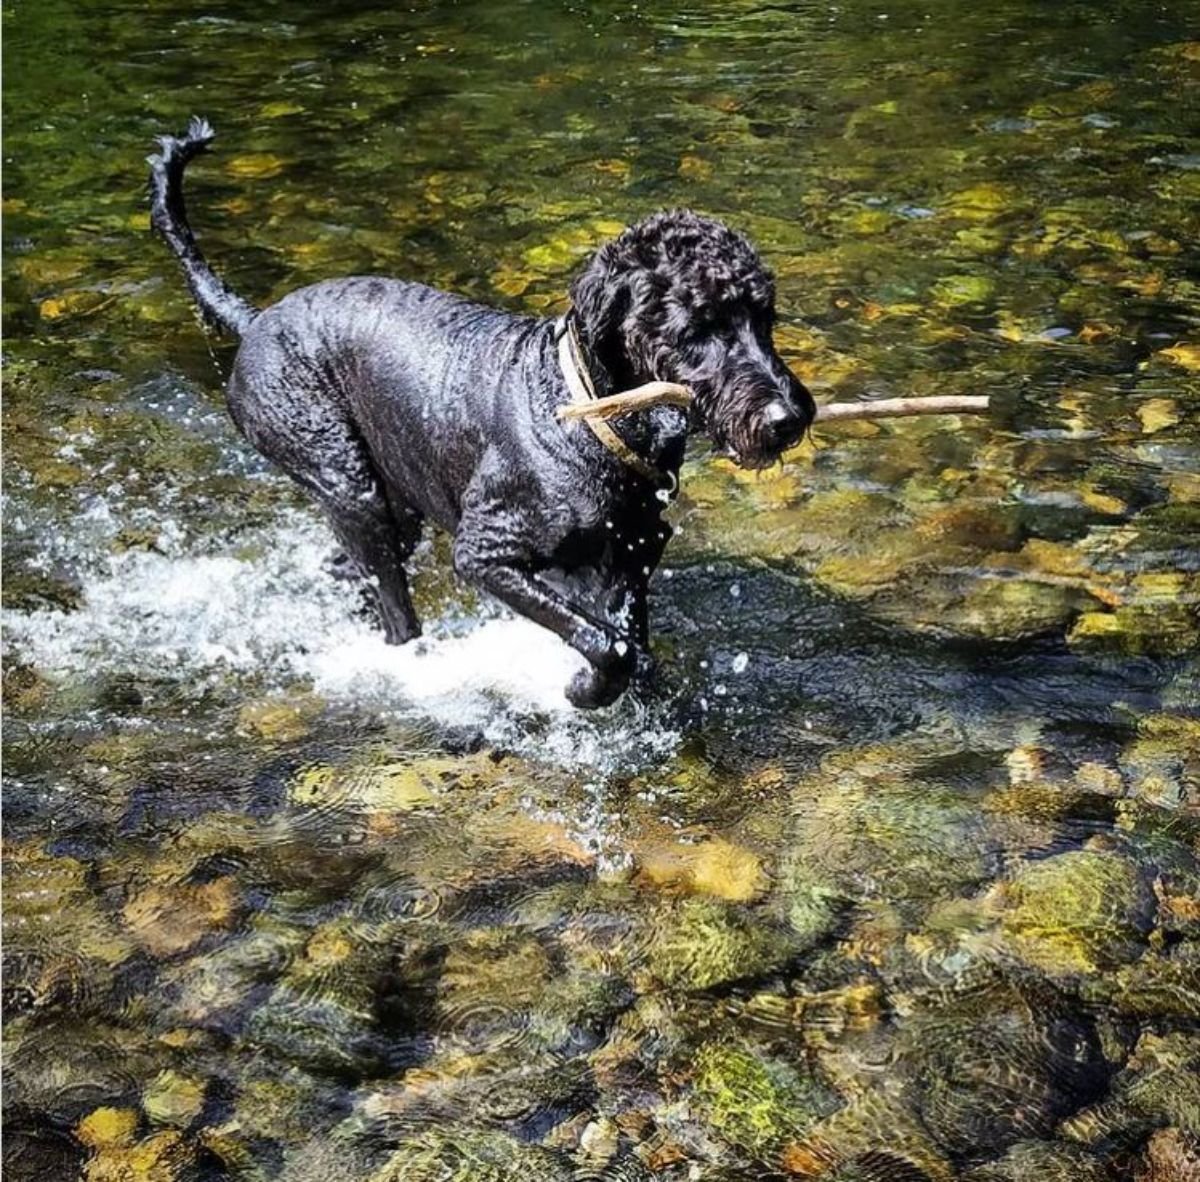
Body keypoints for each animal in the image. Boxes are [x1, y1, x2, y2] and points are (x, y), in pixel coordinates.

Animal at [145, 120, 811, 705]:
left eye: (764, 314)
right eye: (697, 326)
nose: (790, 417)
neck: (593, 419)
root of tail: (255, 321)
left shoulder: (634, 553)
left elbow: (631, 639)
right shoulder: (486, 553)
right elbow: (608, 644)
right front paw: (584, 690)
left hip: (390, 503)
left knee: (352, 570)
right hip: (345, 482)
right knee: (396, 615)